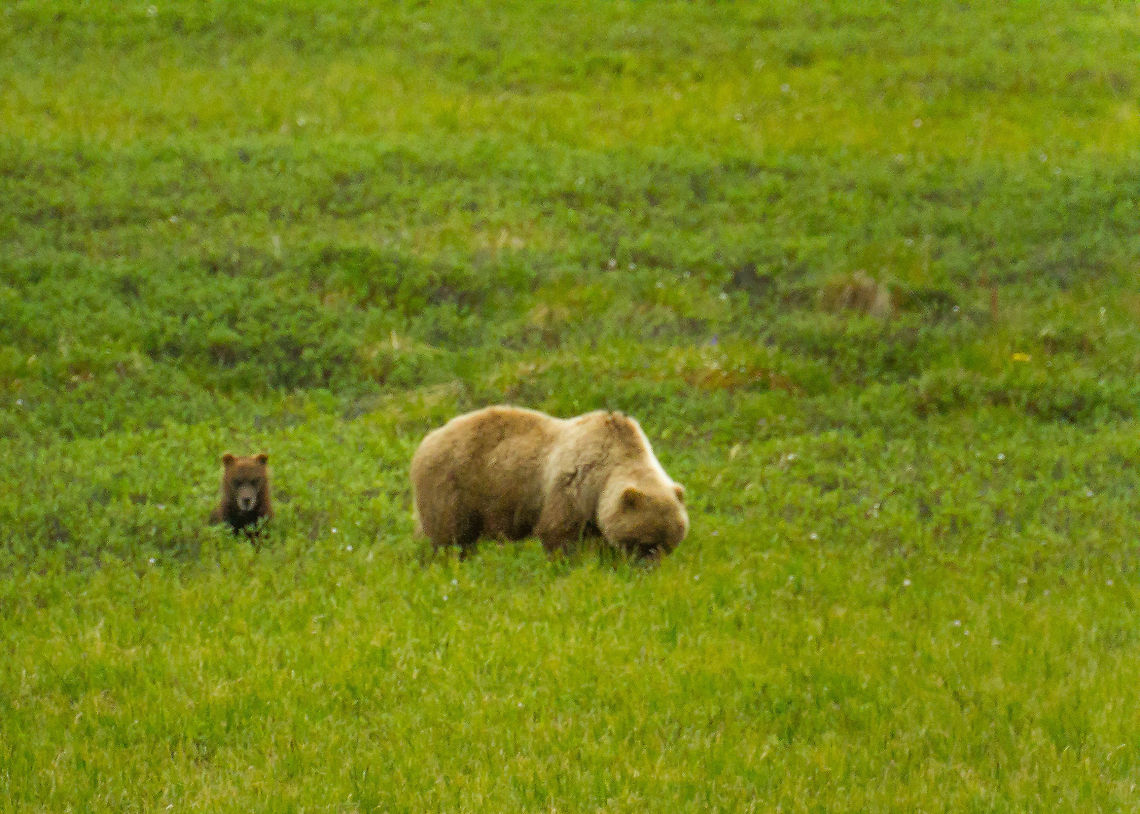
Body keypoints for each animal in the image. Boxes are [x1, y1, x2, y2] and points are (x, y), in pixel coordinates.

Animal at [410, 406, 688, 559]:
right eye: (646, 542)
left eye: (669, 544)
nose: (649, 568)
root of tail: (426, 440)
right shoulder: (573, 485)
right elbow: (558, 532)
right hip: (454, 484)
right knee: (448, 536)